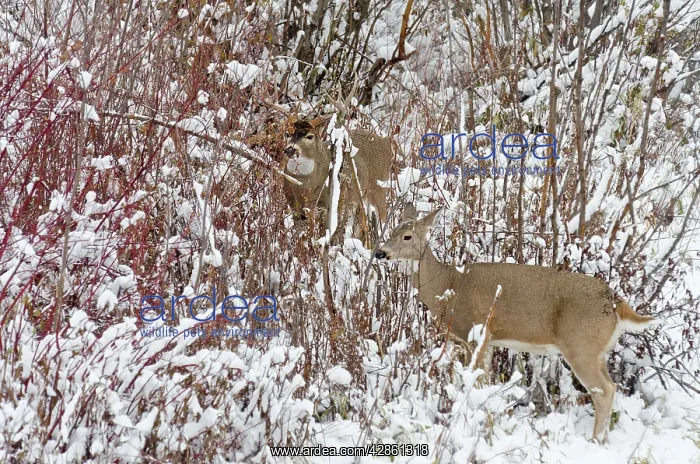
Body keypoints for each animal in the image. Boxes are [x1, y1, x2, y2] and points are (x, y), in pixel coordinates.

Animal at [374, 205, 659, 443]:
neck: (448, 285)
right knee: (611, 387)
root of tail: (614, 302)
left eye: (407, 236)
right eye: (391, 231)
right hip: (597, 351)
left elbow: (476, 382)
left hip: (581, 345)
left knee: (604, 390)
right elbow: (483, 381)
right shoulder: (484, 341)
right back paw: (603, 439)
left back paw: (594, 441)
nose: (380, 252)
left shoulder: (477, 332)